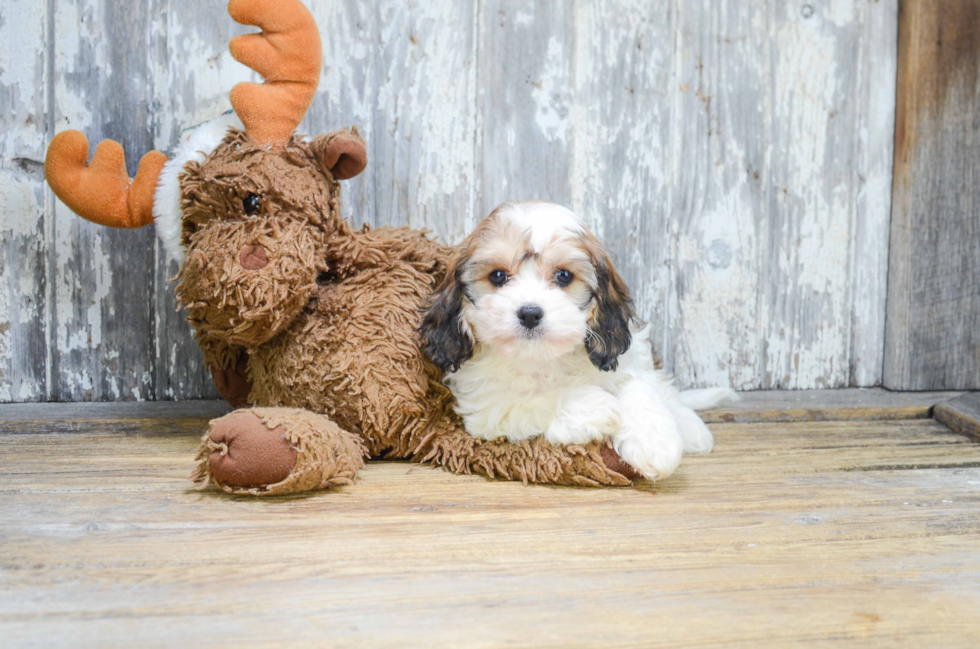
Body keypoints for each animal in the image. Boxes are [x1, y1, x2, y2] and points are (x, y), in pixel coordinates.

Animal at [420, 202, 736, 480]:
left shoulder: (630, 357)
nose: (530, 313)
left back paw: (690, 427)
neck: (546, 357)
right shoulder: (487, 407)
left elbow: (639, 386)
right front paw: (598, 406)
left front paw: (654, 443)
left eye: (564, 276)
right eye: (497, 276)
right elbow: (531, 400)